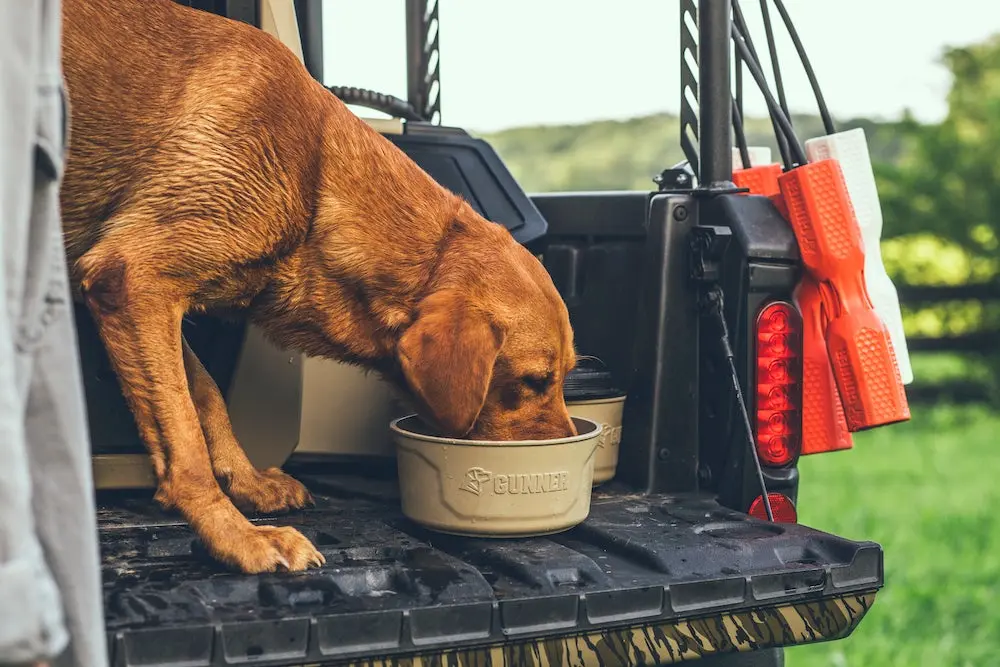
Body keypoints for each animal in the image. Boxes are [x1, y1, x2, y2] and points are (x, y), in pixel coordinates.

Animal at [60, 0, 580, 576]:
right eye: (535, 381)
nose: (572, 451)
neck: (315, 179)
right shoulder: (133, 279)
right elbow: (185, 441)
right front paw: (236, 535)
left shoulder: (138, 292)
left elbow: (205, 396)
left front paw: (247, 482)